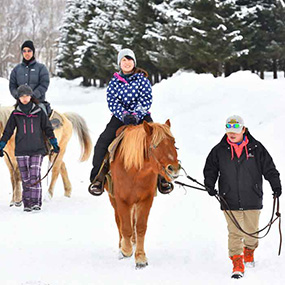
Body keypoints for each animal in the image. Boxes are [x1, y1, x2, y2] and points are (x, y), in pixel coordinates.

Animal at [107, 118, 180, 268]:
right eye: (154, 145)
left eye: (174, 142)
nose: (174, 169)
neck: (135, 171)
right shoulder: (122, 200)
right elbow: (126, 227)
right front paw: (125, 250)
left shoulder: (146, 200)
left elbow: (140, 227)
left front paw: (140, 258)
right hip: (114, 200)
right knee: (119, 222)